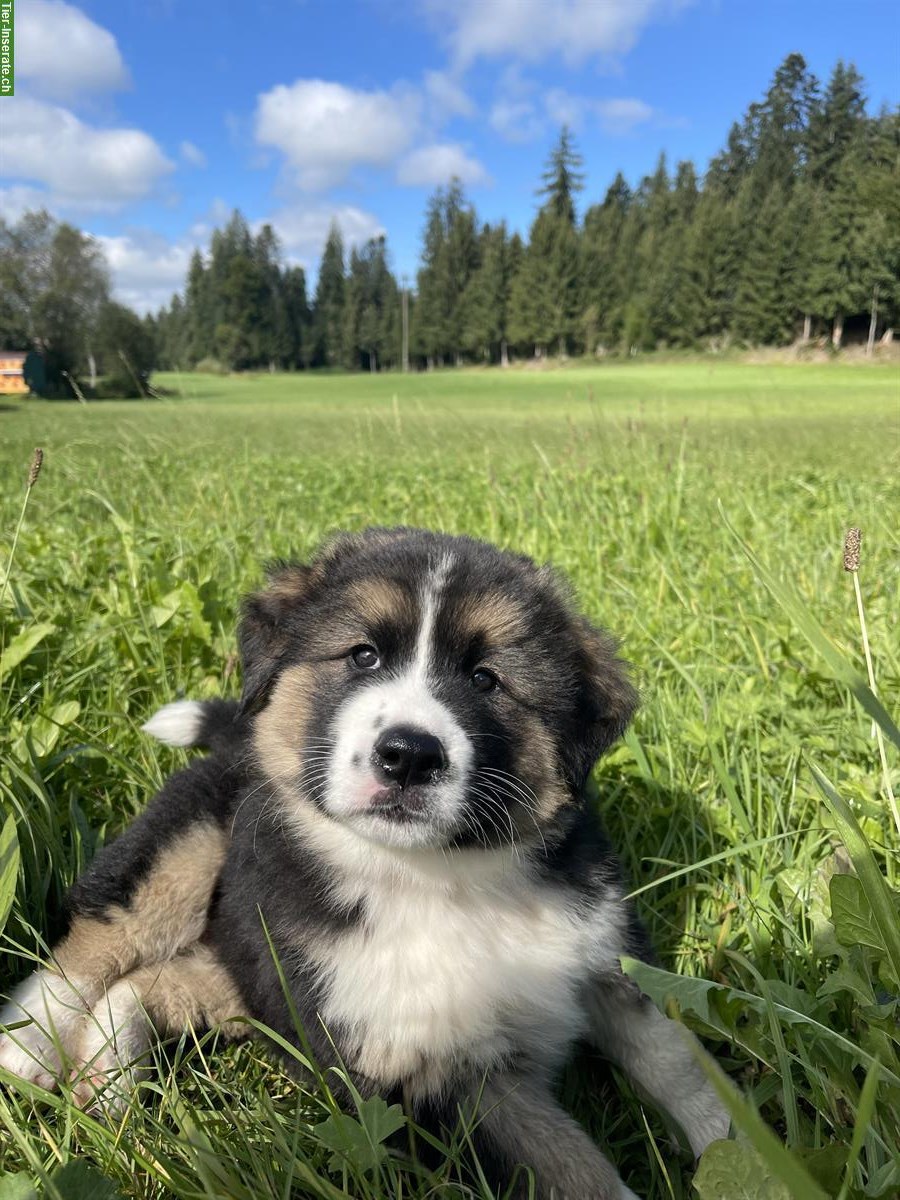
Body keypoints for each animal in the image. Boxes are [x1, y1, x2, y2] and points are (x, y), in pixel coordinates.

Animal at [1, 530, 734, 1195]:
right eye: (363, 655)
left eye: (486, 679)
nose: (408, 754)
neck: (448, 877)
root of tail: (238, 743)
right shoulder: (436, 1079)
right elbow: (572, 1166)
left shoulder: (606, 956)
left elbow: (676, 1059)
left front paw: (737, 1150)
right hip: (191, 849)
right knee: (101, 939)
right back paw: (28, 1047)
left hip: (256, 970)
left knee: (146, 983)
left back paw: (110, 1085)